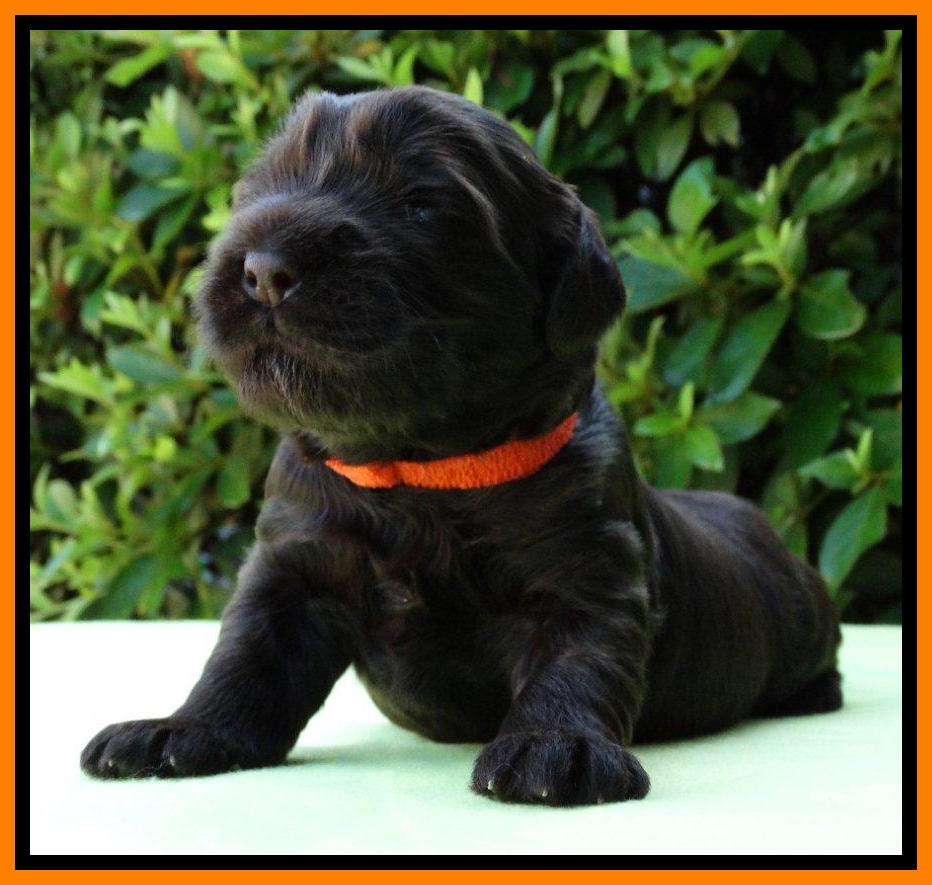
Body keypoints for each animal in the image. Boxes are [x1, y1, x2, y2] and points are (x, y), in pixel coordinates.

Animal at [81, 86, 842, 805]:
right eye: (256, 192)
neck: (417, 469)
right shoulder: (293, 564)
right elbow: (245, 656)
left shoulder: (588, 568)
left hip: (804, 614)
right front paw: (179, 729)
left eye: (421, 205)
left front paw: (555, 747)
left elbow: (578, 662)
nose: (265, 269)